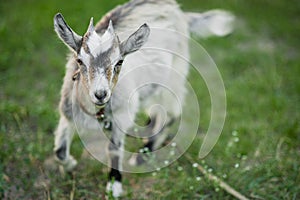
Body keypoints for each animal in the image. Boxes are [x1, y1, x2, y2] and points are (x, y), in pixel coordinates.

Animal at [52, 0, 233, 197]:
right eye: (80, 61)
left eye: (119, 62)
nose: (100, 94)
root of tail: (179, 12)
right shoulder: (68, 114)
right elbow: (59, 151)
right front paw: (69, 166)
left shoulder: (121, 117)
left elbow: (113, 149)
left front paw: (114, 186)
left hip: (174, 76)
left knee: (171, 113)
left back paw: (143, 154)